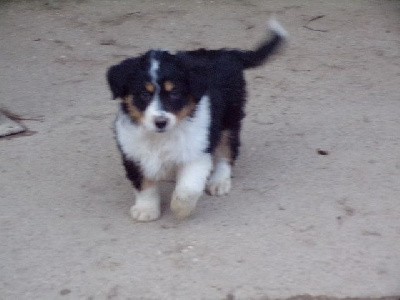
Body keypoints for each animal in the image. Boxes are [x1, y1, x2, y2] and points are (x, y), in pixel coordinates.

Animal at [106, 18, 288, 220]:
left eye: (175, 93)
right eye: (144, 94)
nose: (160, 122)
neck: (162, 137)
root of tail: (226, 54)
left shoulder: (197, 150)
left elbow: (188, 188)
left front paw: (180, 208)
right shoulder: (133, 153)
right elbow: (144, 184)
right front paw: (146, 210)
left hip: (229, 119)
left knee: (227, 151)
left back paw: (219, 182)